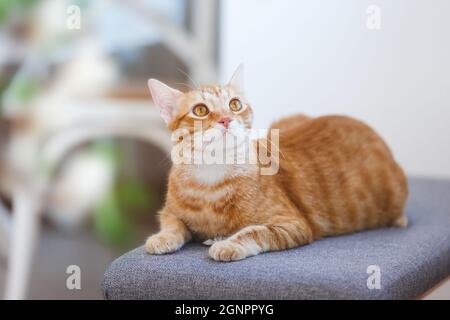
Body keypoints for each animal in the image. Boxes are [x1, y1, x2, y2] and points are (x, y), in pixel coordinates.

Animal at [145, 65, 408, 262]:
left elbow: (254, 232)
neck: (211, 178)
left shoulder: (293, 224)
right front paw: (161, 238)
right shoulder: (168, 212)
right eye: (200, 110)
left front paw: (227, 244)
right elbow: (172, 224)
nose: (226, 119)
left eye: (235, 104)